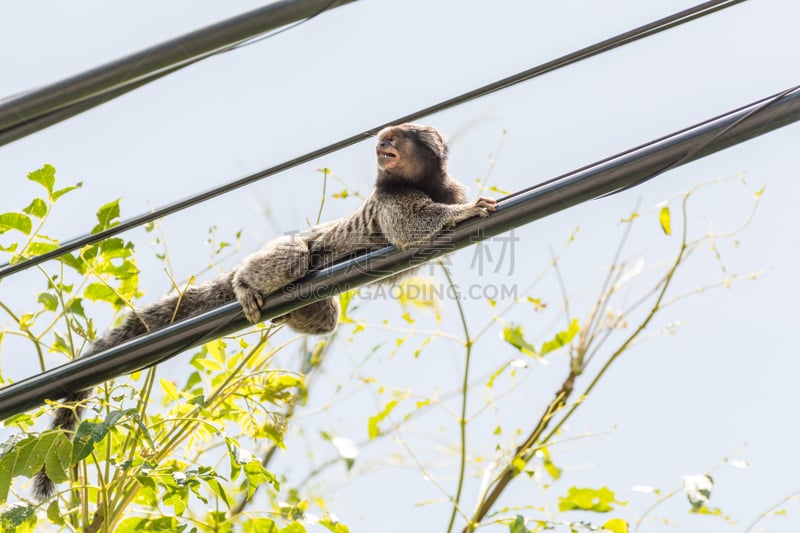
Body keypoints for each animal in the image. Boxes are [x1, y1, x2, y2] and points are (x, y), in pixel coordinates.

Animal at [34, 122, 496, 496]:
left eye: (394, 140)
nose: (381, 143)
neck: (426, 183)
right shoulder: (388, 200)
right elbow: (411, 226)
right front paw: (463, 215)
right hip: (287, 250)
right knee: (295, 256)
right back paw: (245, 284)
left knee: (324, 317)